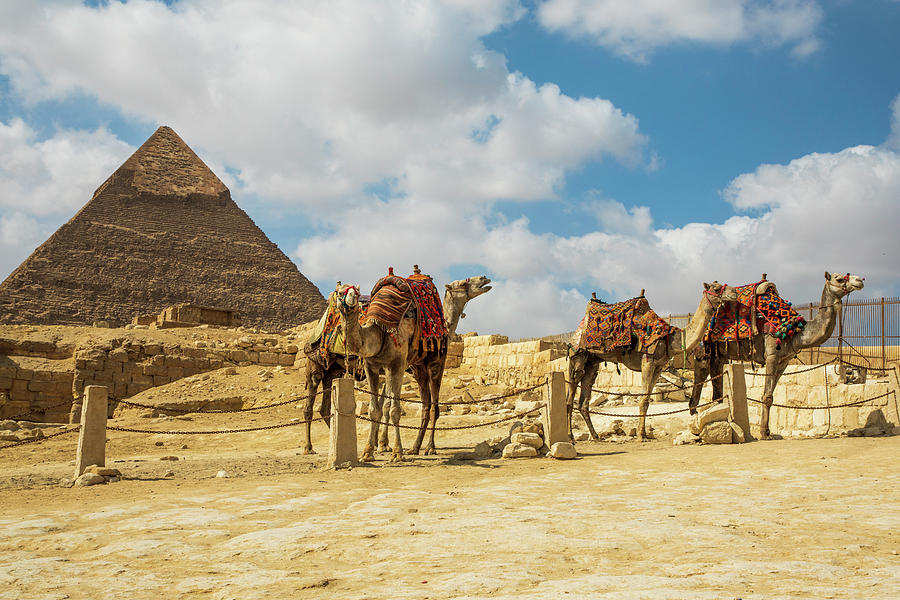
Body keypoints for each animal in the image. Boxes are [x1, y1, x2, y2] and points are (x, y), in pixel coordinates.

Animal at [568, 282, 740, 440]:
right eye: (716, 288)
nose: (734, 293)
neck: (670, 339)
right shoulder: (647, 361)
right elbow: (643, 400)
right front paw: (640, 435)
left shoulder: (658, 366)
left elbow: (647, 400)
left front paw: (643, 433)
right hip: (577, 356)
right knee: (571, 394)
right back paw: (570, 436)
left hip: (592, 362)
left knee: (584, 400)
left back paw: (595, 436)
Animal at [688, 270, 864, 438]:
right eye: (839, 279)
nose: (860, 280)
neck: (796, 332)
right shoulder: (772, 355)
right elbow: (766, 396)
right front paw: (764, 433)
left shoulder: (784, 361)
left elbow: (771, 396)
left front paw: (767, 432)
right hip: (710, 350)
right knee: (704, 376)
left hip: (719, 354)